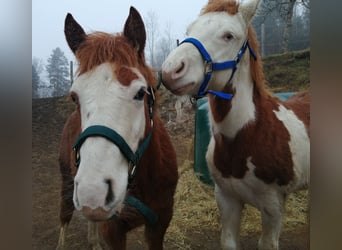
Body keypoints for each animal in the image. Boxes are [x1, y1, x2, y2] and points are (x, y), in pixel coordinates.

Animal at [55, 6, 178, 250]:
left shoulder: (160, 222)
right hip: (67, 182)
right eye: (74, 97)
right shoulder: (113, 230)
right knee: (64, 217)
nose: (93, 192)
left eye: (140, 93)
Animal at [161, 0, 310, 250]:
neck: (249, 134)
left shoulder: (273, 208)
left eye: (228, 35)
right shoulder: (227, 200)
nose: (170, 71)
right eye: (190, 30)